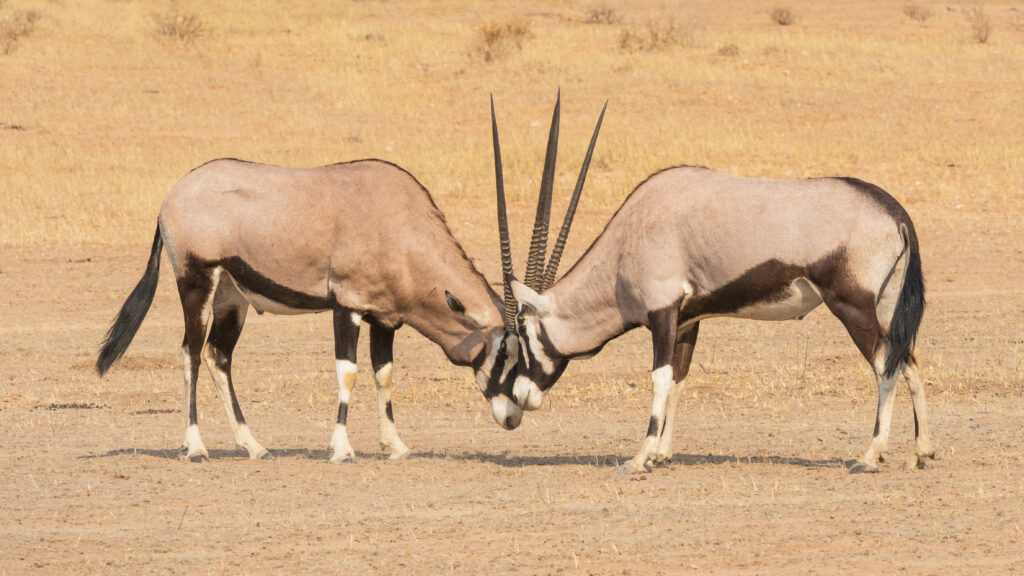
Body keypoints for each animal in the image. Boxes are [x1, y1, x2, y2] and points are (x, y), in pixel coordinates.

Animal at [94, 153, 528, 461]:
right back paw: (196, 447)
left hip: (232, 297)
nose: (512, 417)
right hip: (197, 282)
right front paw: (342, 449)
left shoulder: (385, 318)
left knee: (219, 356)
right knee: (192, 353)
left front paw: (396, 445)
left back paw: (253, 445)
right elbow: (348, 372)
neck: (400, 225)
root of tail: (173, 195)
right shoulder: (347, 306)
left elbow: (384, 374)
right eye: (504, 352)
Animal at [505, 156, 937, 471]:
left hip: (852, 308)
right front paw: (662, 453)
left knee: (884, 367)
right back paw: (922, 451)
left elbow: (660, 379)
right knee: (909, 361)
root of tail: (895, 214)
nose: (520, 399)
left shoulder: (663, 312)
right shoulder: (687, 320)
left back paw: (871, 455)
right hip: (887, 310)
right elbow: (679, 380)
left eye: (520, 334)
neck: (628, 239)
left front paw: (641, 457)